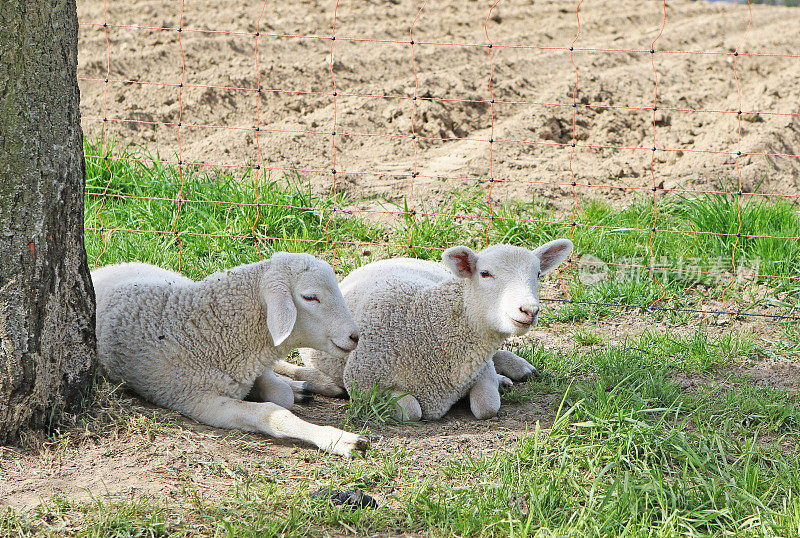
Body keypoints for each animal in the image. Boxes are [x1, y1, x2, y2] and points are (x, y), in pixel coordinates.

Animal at [92, 253, 368, 454]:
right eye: (310, 297)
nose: (355, 336)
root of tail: (107, 268)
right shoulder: (198, 401)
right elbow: (273, 412)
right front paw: (340, 440)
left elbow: (281, 393)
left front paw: (291, 388)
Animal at [276, 239, 576, 418]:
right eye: (485, 274)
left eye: (538, 274)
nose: (529, 310)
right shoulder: (363, 385)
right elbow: (412, 410)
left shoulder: (479, 367)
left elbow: (486, 407)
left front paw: (499, 380)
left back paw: (517, 367)